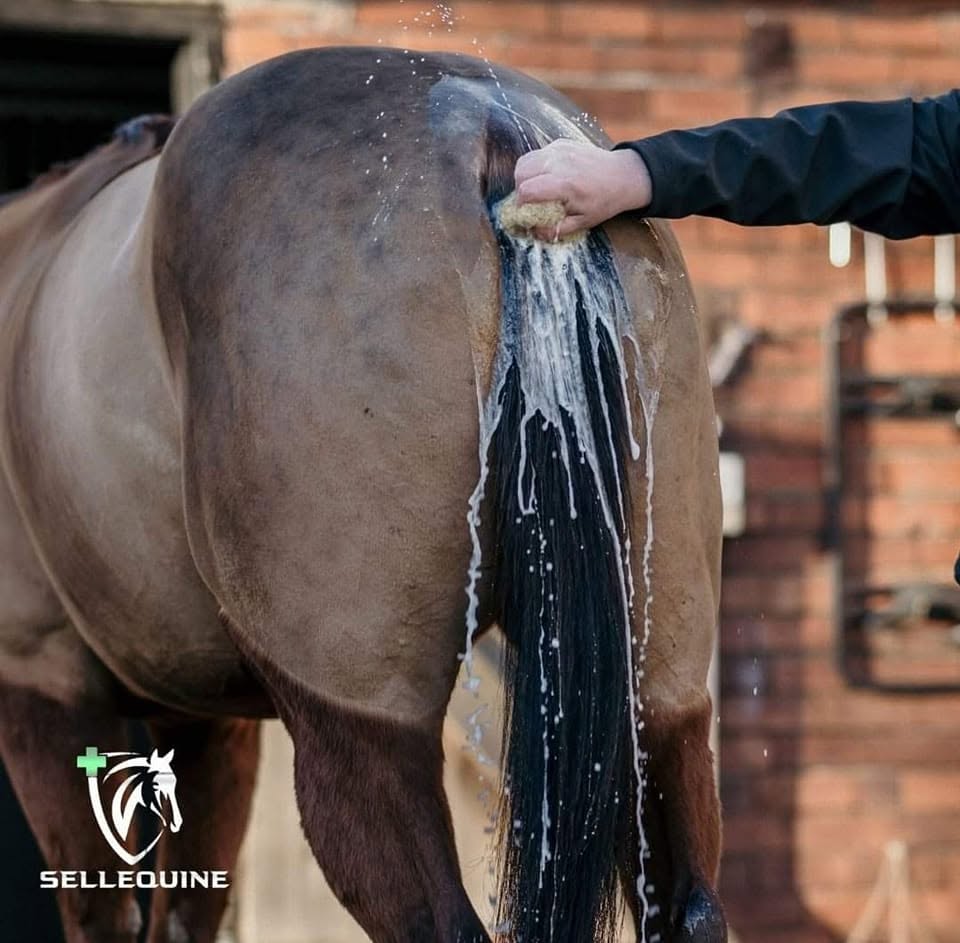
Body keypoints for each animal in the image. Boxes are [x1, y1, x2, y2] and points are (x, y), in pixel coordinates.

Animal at [0, 47, 724, 943]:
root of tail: (493, 121)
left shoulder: (40, 685)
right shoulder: (201, 721)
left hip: (358, 724)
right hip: (660, 689)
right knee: (693, 901)